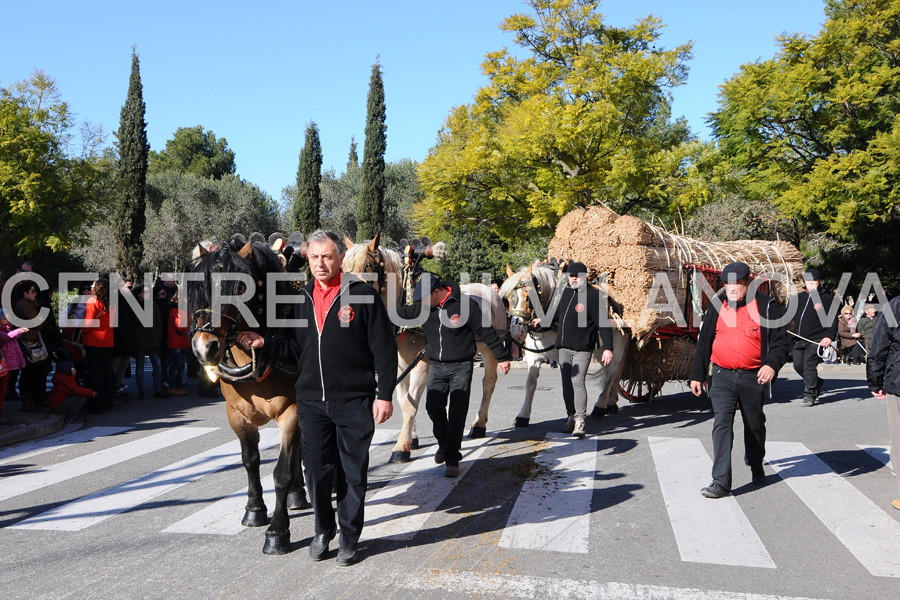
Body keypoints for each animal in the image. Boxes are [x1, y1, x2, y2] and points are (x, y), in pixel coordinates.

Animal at [187, 241, 310, 556]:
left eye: (239, 287)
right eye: (197, 287)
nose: (205, 348)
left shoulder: (291, 412)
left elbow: (280, 472)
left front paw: (277, 532)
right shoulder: (237, 415)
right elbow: (250, 460)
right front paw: (254, 509)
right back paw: (297, 494)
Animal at [500, 258, 632, 426]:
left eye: (528, 297)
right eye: (508, 297)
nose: (517, 331)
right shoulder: (533, 356)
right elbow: (530, 383)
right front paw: (523, 415)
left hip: (618, 345)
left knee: (612, 372)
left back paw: (601, 405)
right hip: (600, 350)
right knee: (609, 370)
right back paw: (611, 402)